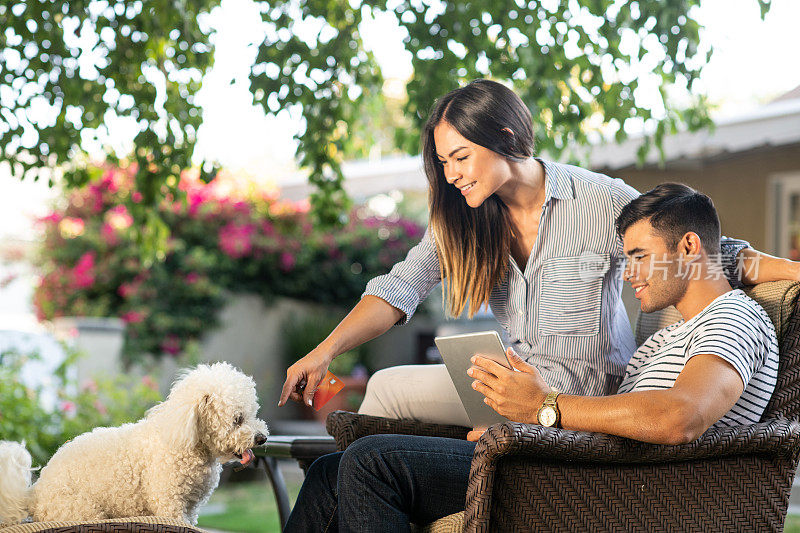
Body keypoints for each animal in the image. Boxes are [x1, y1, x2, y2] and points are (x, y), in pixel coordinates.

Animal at [0, 360, 268, 524]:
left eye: (254, 413)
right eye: (237, 419)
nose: (262, 438)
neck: (186, 442)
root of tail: (34, 493)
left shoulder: (191, 509)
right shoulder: (169, 504)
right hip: (82, 510)